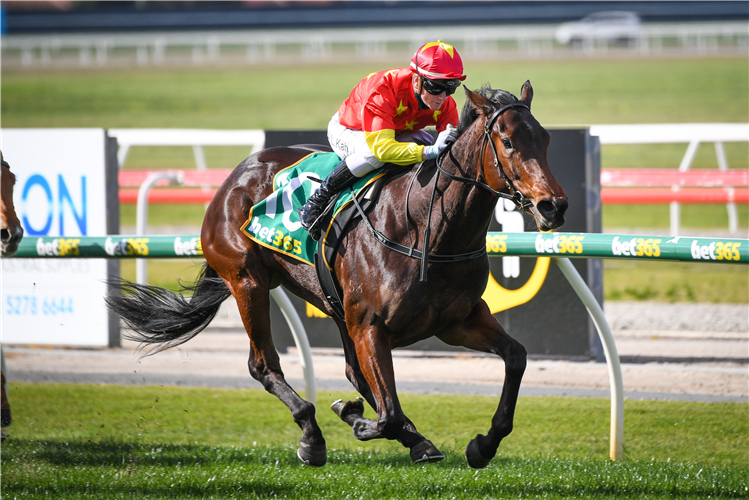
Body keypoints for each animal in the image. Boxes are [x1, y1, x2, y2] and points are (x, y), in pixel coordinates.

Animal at [108, 82, 568, 468]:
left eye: (546, 139)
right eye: (507, 141)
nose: (553, 206)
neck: (428, 230)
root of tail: (237, 173)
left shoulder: (457, 321)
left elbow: (516, 357)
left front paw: (482, 445)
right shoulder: (371, 325)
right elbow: (387, 412)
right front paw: (357, 419)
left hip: (335, 305)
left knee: (354, 374)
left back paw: (413, 440)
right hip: (248, 281)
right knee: (264, 365)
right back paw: (313, 435)